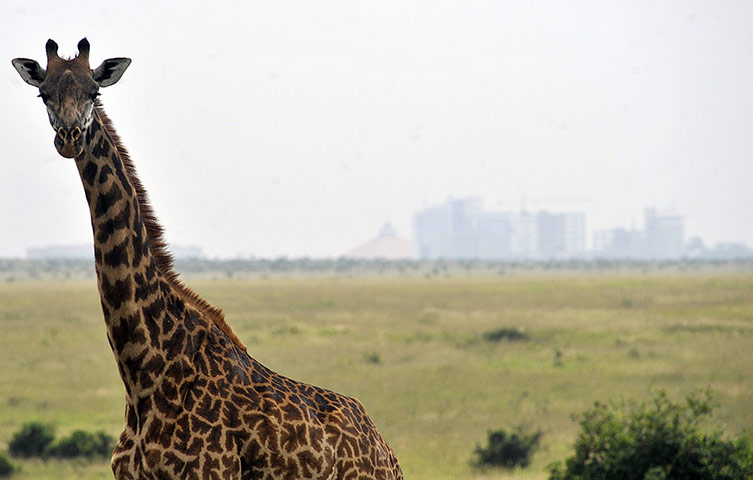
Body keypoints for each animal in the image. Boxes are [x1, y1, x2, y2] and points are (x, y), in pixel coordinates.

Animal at [12, 39, 403, 480]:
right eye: (44, 94)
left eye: (94, 92)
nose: (70, 137)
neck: (144, 375)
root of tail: (387, 452)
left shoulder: (210, 471)